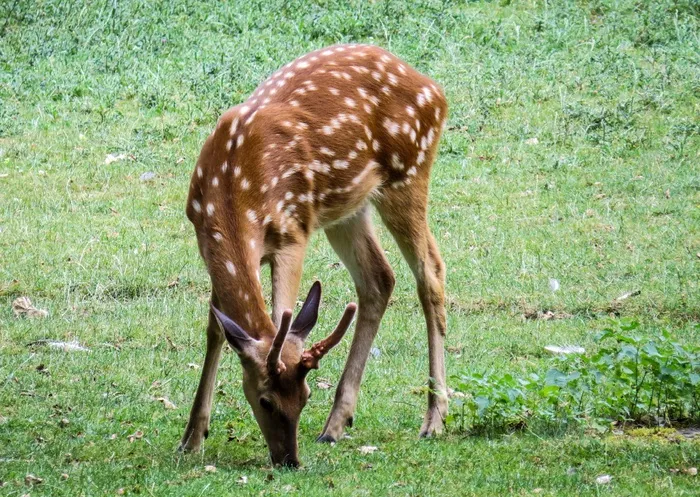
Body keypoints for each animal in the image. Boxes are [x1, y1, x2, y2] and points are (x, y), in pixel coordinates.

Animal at [180, 43, 448, 467]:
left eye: (304, 397)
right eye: (266, 401)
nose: (289, 460)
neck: (233, 197)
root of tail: (435, 91)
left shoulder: (293, 232)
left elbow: (280, 316)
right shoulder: (204, 240)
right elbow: (216, 329)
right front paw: (191, 437)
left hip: (408, 174)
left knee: (431, 273)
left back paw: (434, 419)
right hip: (348, 208)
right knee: (379, 278)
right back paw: (336, 424)